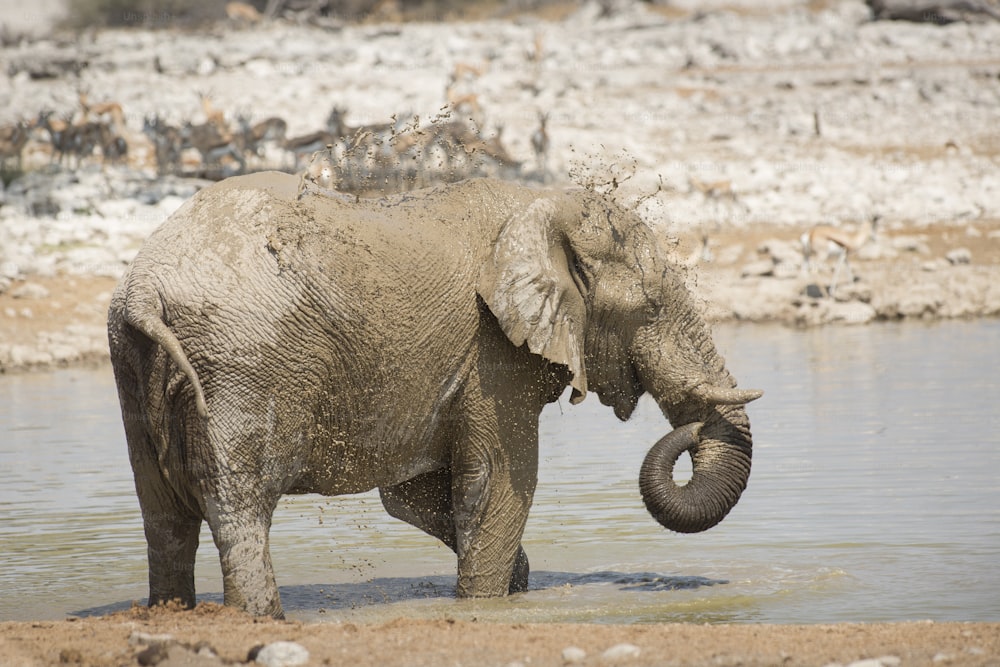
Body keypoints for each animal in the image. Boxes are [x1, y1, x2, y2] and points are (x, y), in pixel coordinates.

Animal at [107, 170, 756, 620]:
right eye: (651, 306)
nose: (691, 427)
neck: (539, 205)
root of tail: (144, 289)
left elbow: (416, 494)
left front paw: (514, 582)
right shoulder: (493, 353)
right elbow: (500, 483)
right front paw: (489, 603)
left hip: (132, 365)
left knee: (163, 516)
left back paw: (172, 613)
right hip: (245, 363)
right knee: (237, 505)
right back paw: (260, 618)